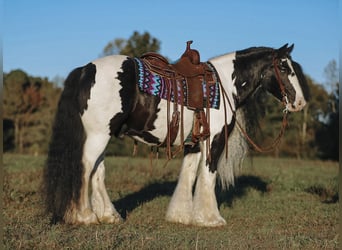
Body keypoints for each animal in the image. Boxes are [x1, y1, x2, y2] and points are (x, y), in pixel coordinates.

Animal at [43, 42, 310, 227]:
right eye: (284, 66)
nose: (300, 102)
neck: (225, 83)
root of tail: (86, 69)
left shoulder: (195, 143)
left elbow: (188, 174)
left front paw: (181, 215)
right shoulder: (214, 140)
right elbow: (208, 176)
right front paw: (210, 218)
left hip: (102, 136)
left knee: (97, 171)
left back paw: (109, 215)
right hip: (98, 135)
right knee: (85, 168)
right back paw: (84, 216)